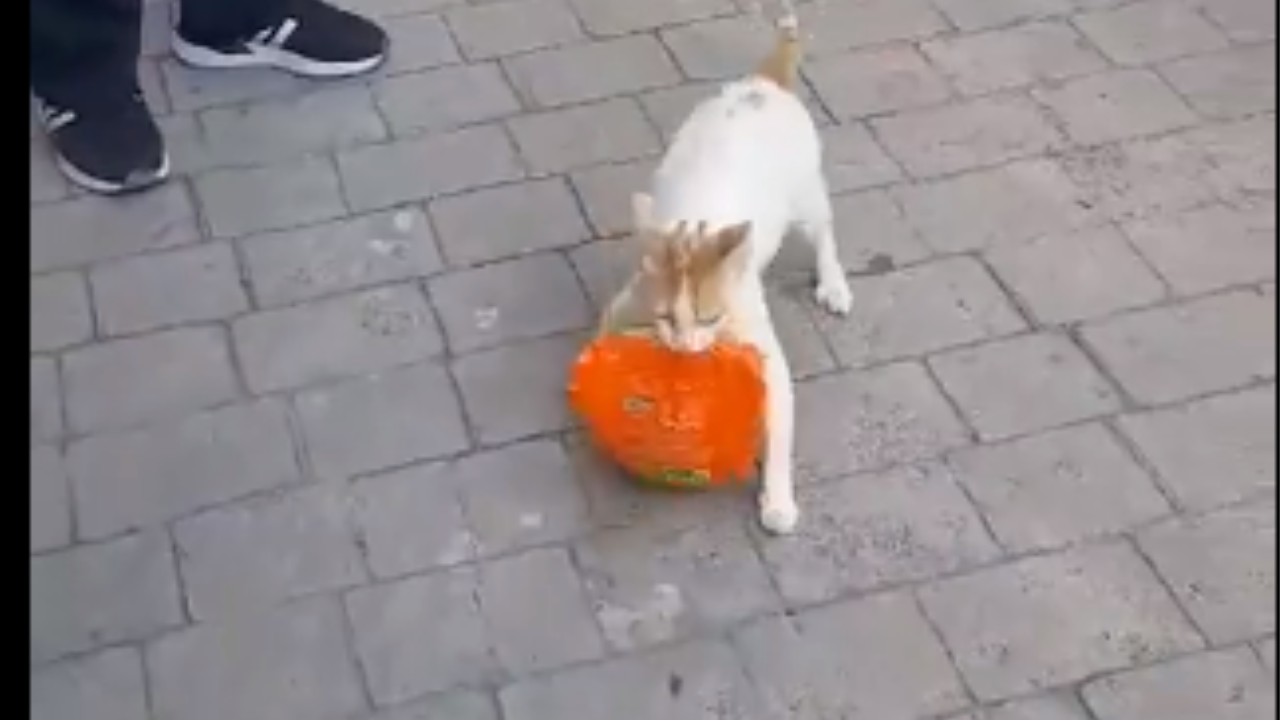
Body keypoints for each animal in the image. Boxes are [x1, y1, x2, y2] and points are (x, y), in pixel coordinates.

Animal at [596, 9, 849, 532]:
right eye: (666, 317)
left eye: (709, 318)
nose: (688, 347)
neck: (697, 227)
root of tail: (763, 83)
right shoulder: (626, 300)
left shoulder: (764, 352)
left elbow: (780, 419)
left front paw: (778, 499)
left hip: (805, 197)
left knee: (824, 231)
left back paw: (834, 282)